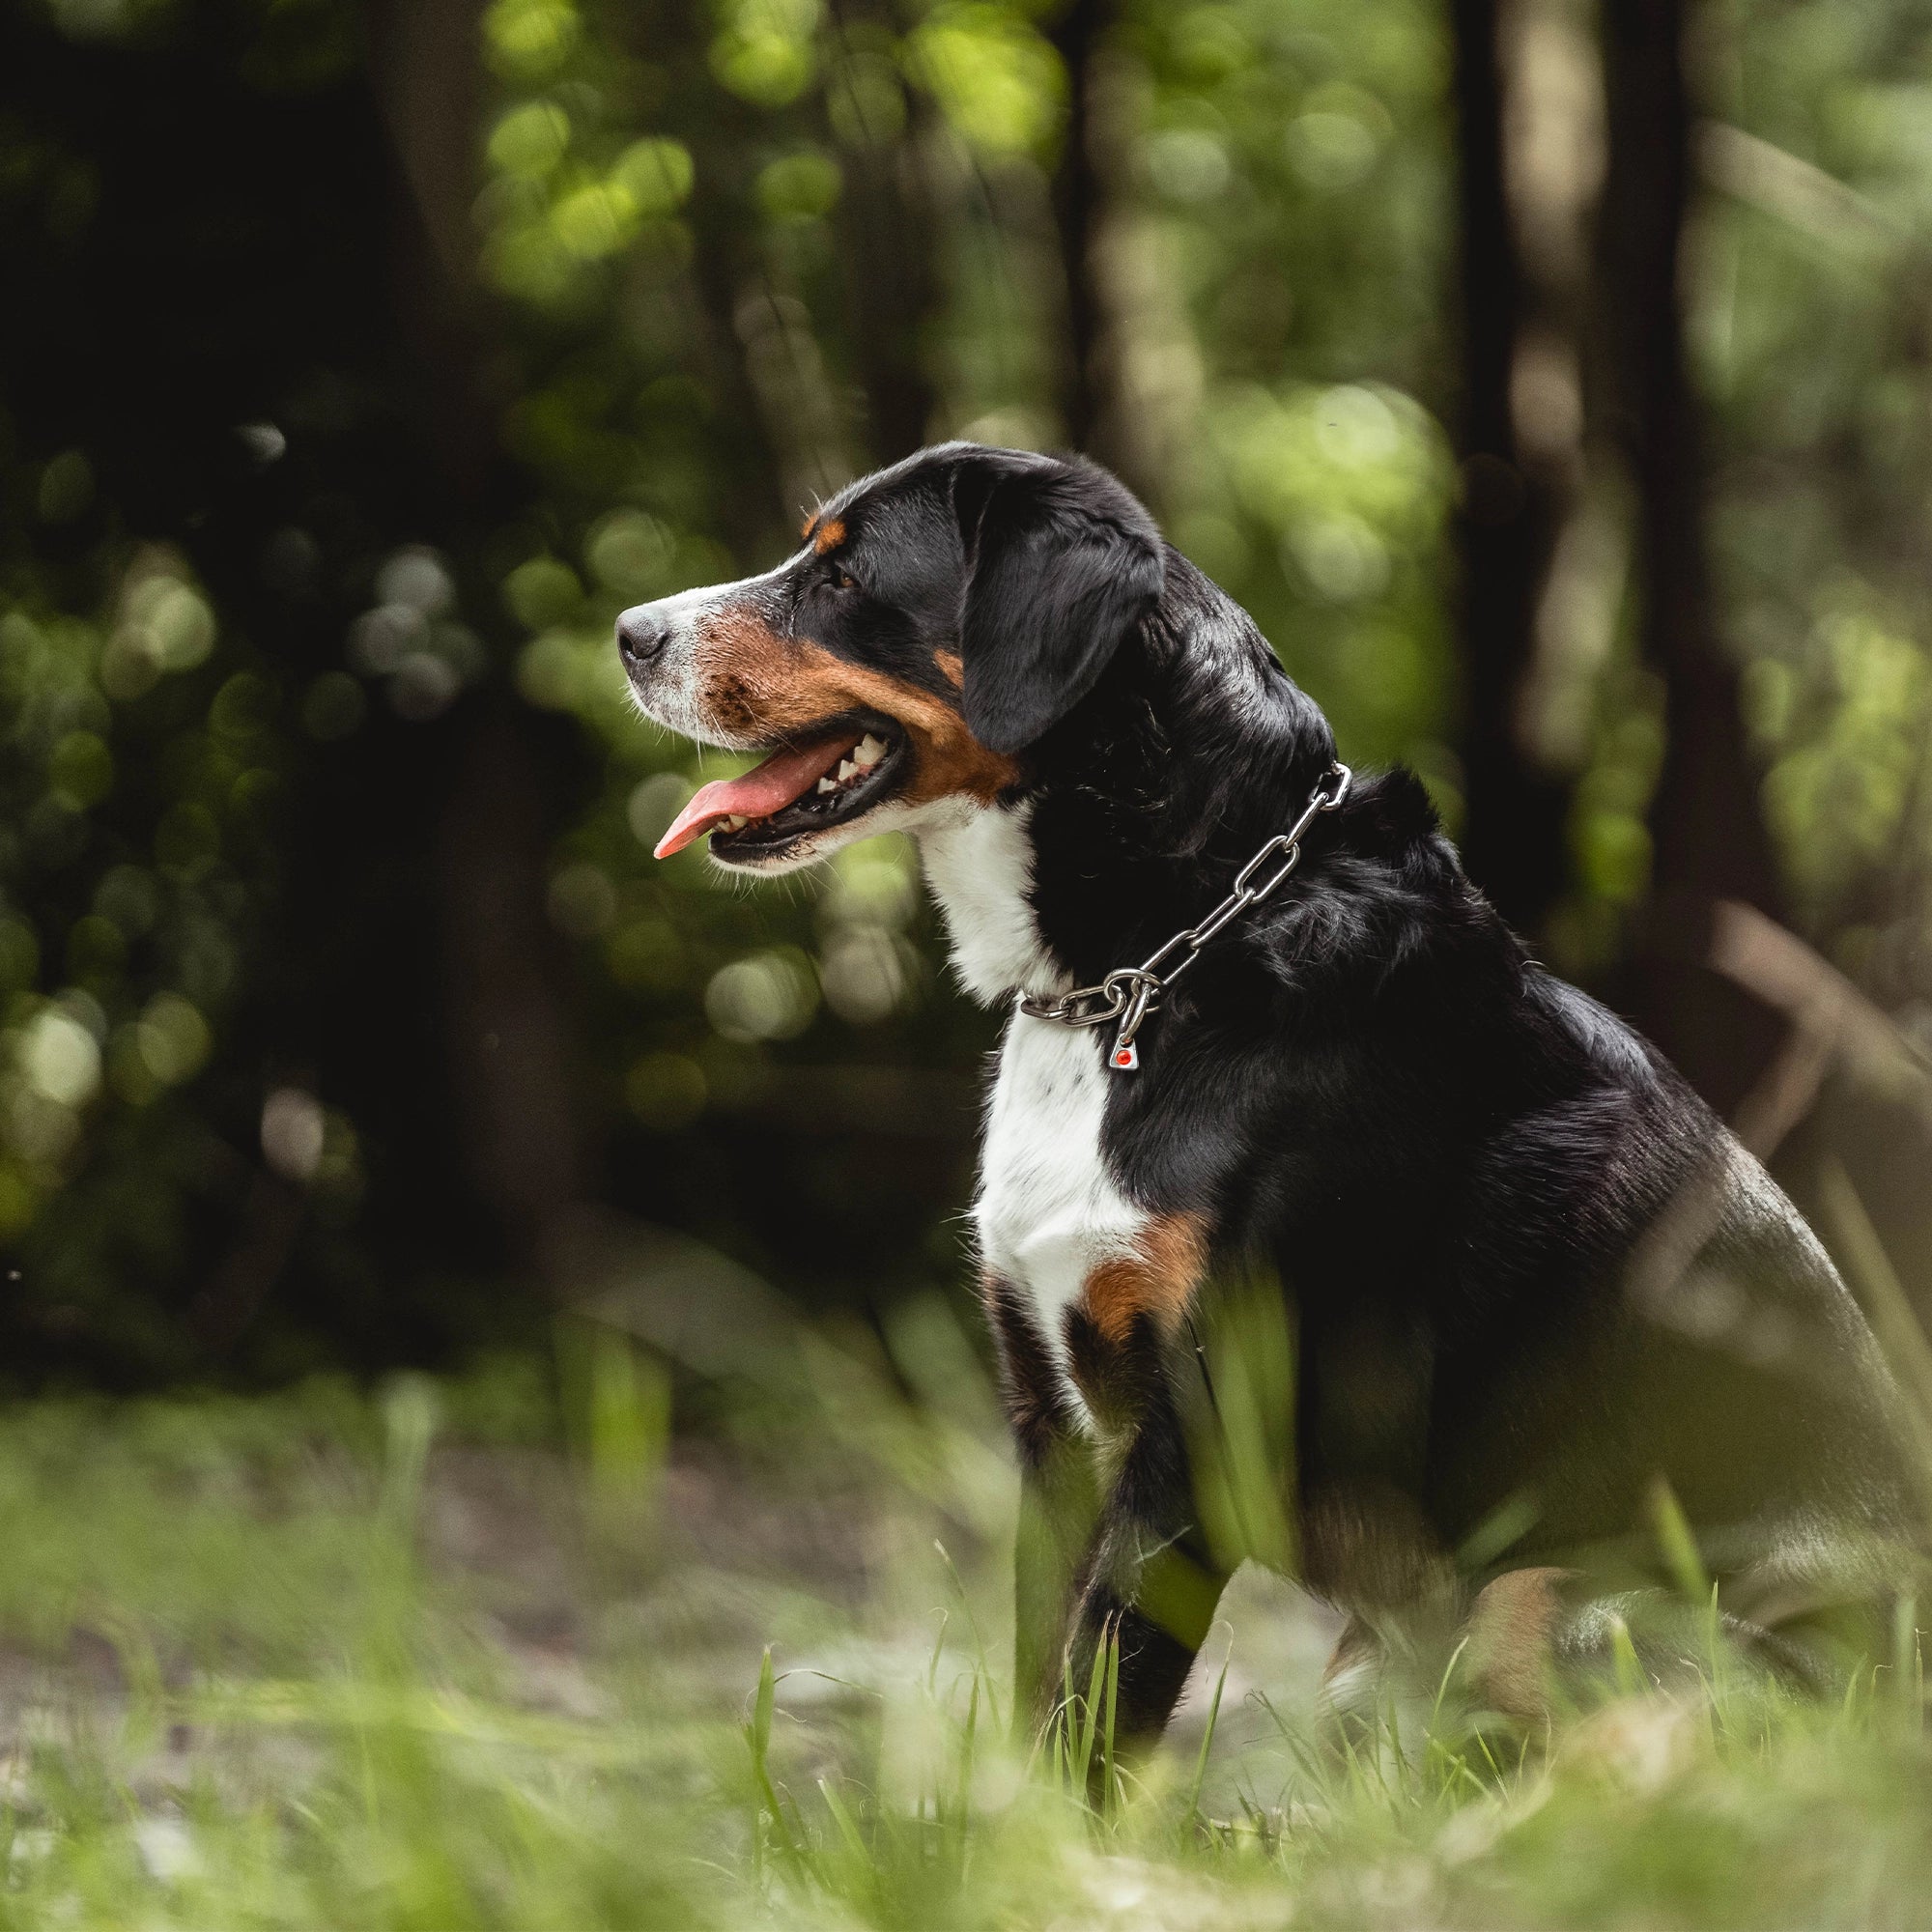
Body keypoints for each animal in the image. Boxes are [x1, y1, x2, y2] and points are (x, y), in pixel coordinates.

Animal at [618, 444, 1917, 1747]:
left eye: (844, 576)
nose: (628, 631)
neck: (1148, 969)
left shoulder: (1196, 1433)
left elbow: (1097, 1709)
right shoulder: (1052, 1419)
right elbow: (1043, 1683)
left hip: (1555, 1597)